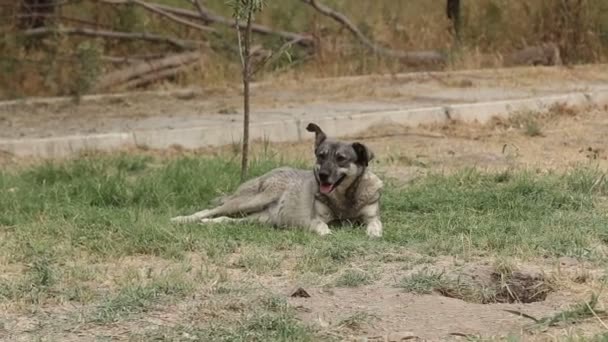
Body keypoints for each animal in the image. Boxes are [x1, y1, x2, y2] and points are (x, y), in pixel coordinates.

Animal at [169, 123, 382, 238]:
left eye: (341, 159)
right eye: (321, 156)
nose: (322, 175)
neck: (344, 198)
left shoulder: (372, 217)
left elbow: (375, 224)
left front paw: (374, 233)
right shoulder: (315, 219)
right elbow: (322, 226)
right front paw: (327, 233)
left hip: (258, 219)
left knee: (225, 219)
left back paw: (209, 223)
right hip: (250, 201)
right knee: (209, 210)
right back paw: (181, 219)